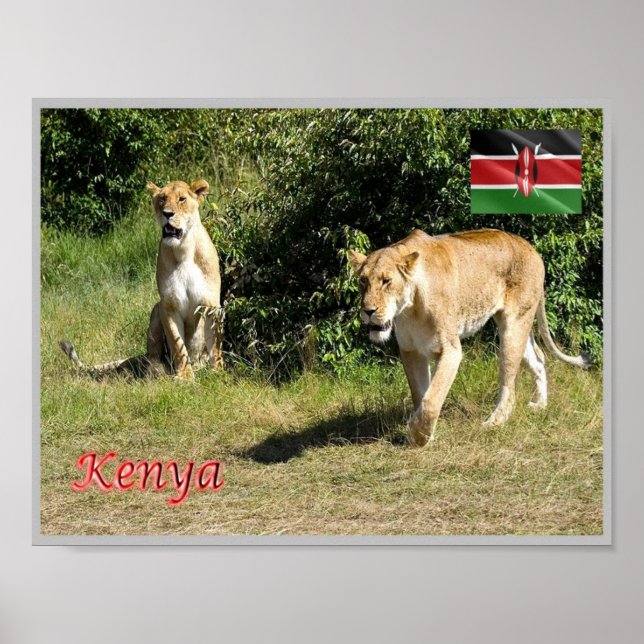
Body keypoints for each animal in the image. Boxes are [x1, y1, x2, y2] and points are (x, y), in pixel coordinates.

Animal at [61, 179, 223, 379]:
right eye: (162, 199)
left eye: (182, 199)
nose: (167, 213)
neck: (183, 249)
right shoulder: (168, 305)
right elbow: (177, 344)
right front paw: (184, 376)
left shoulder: (212, 305)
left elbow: (215, 344)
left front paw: (218, 372)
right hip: (156, 310)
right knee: (152, 357)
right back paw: (158, 371)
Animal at [349, 228, 590, 447]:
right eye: (362, 281)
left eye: (386, 281)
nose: (368, 311)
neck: (410, 309)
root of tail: (531, 248)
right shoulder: (411, 351)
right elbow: (420, 394)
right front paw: (426, 434)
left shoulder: (451, 350)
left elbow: (432, 399)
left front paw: (418, 436)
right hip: (520, 324)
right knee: (538, 357)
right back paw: (540, 404)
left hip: (512, 327)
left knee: (509, 387)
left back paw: (492, 423)